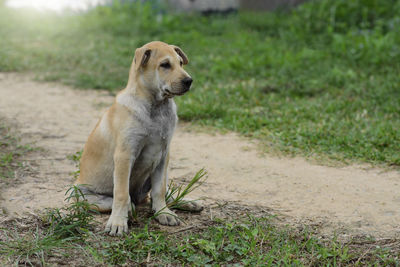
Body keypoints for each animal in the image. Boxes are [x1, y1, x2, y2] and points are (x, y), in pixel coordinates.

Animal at [76, 40, 203, 236]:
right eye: (165, 65)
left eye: (181, 63)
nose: (189, 81)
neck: (156, 106)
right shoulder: (125, 155)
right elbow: (121, 193)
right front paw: (118, 222)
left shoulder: (163, 155)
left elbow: (160, 189)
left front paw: (163, 212)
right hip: (85, 196)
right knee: (123, 201)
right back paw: (129, 208)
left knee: (159, 193)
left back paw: (186, 202)